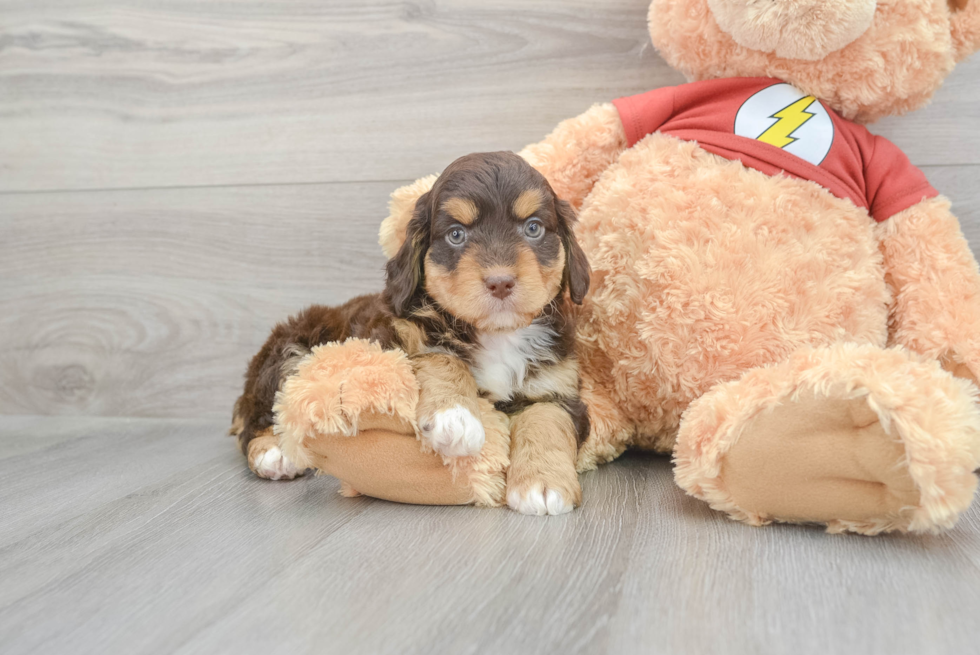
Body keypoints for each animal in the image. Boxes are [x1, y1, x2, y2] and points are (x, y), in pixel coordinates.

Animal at [232, 151, 588, 516]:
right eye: (456, 235)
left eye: (533, 228)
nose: (500, 282)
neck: (496, 334)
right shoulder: (392, 344)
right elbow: (441, 359)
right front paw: (455, 418)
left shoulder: (557, 387)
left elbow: (547, 418)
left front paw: (542, 484)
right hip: (290, 351)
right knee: (259, 415)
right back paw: (273, 453)